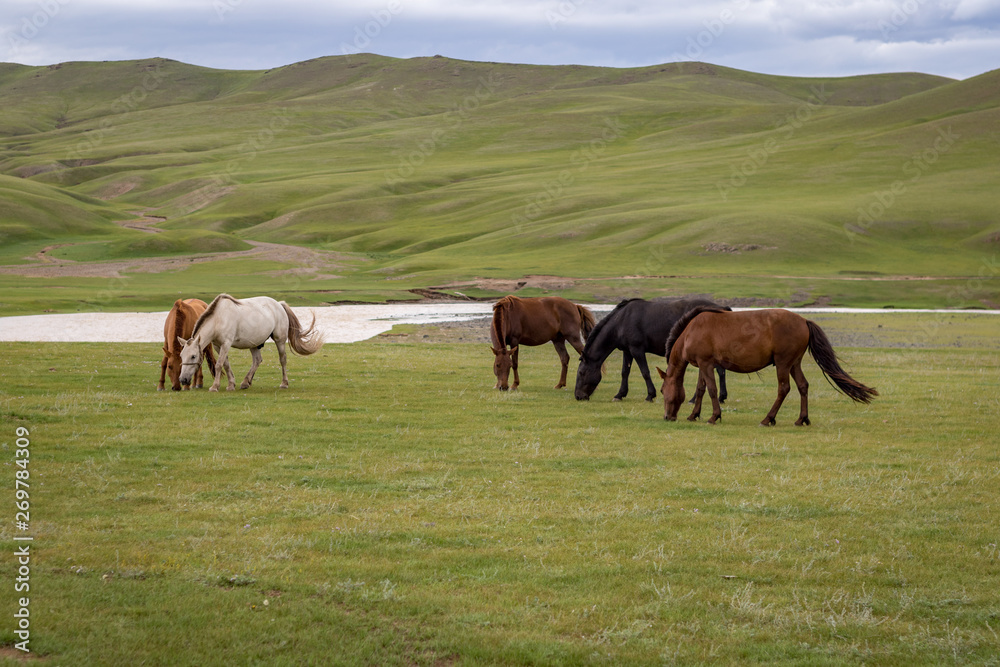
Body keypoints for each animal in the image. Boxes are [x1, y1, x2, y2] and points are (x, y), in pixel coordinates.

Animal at [176, 294, 324, 392]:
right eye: (182, 356)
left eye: (193, 356)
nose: (182, 379)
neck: (219, 319)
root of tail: (278, 304)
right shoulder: (218, 346)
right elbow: (226, 364)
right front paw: (231, 385)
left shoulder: (226, 344)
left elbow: (219, 365)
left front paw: (214, 386)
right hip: (254, 343)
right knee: (257, 360)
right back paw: (246, 382)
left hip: (279, 340)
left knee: (283, 360)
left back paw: (284, 383)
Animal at [576, 298, 732, 402]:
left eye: (582, 372)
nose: (578, 396)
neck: (621, 321)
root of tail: (722, 308)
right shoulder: (627, 351)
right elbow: (625, 372)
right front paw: (620, 394)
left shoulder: (637, 350)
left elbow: (645, 372)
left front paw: (650, 395)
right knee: (721, 371)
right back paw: (721, 397)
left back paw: (695, 399)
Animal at [660, 306, 880, 426]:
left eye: (662, 391)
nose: (667, 417)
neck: (691, 331)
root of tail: (803, 320)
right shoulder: (704, 365)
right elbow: (701, 389)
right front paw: (693, 415)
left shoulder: (706, 364)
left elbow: (712, 390)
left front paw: (714, 416)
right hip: (794, 363)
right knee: (803, 386)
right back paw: (802, 419)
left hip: (783, 363)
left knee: (784, 388)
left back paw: (768, 419)